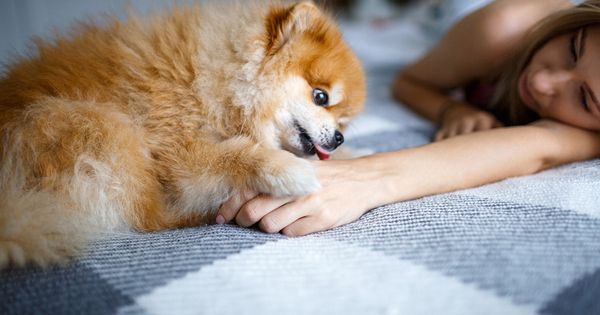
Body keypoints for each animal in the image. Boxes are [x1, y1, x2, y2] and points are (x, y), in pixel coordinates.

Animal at [0, 0, 366, 270]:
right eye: (321, 97)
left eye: (344, 121)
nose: (339, 138)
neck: (211, 80)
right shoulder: (177, 151)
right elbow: (232, 155)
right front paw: (288, 170)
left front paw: (355, 156)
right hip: (100, 125)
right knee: (150, 218)